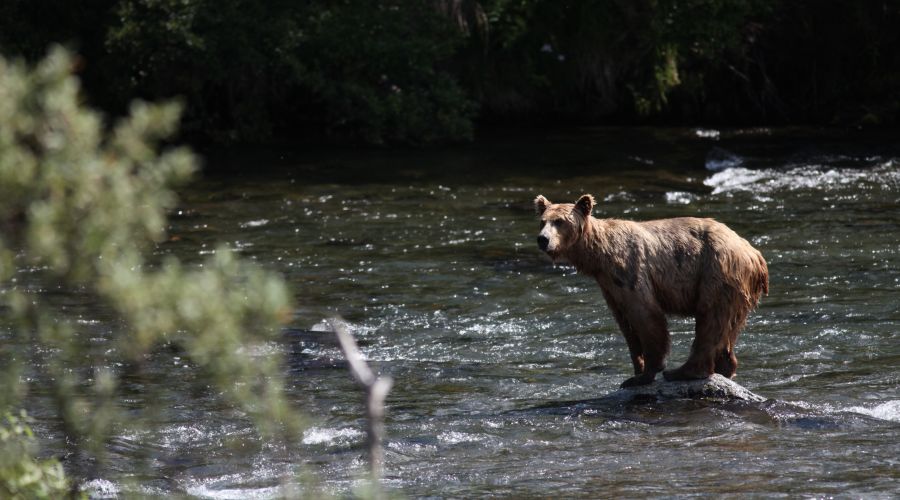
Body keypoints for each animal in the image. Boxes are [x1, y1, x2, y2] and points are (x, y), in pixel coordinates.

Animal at [534, 194, 768, 387]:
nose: (542, 239)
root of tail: (755, 254)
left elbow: (646, 315)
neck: (599, 258)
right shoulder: (609, 287)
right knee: (727, 328)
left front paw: (644, 374)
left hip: (716, 272)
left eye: (559, 221)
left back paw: (683, 371)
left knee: (710, 319)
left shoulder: (630, 270)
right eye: (543, 221)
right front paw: (636, 368)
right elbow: (626, 325)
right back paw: (724, 368)